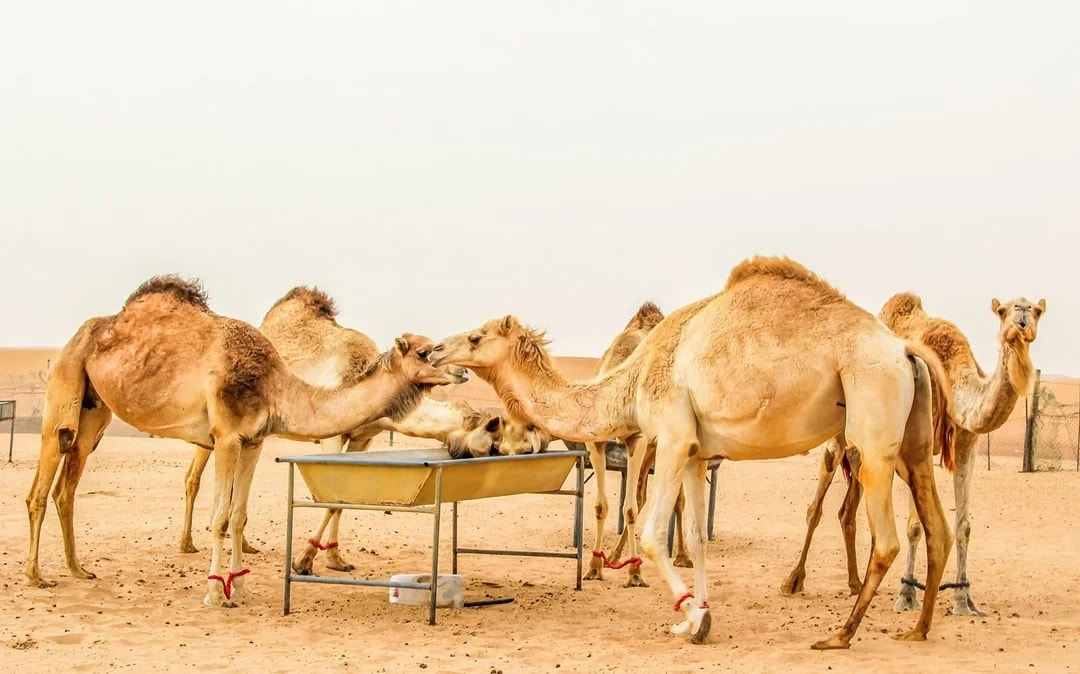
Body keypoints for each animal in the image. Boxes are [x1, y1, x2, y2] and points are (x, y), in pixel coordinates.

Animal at [25, 275, 461, 608]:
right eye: (427, 351)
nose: (458, 372)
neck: (274, 385)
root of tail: (79, 335)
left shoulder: (253, 441)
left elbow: (237, 515)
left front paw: (244, 587)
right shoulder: (227, 437)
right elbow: (220, 517)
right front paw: (216, 594)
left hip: (94, 413)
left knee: (67, 487)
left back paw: (77, 568)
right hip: (64, 387)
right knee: (41, 486)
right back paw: (35, 575)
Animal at [429, 256, 957, 649]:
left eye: (475, 337)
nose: (434, 350)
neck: (633, 379)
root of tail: (905, 349)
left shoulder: (671, 437)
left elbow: (650, 534)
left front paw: (688, 618)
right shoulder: (697, 452)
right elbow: (699, 539)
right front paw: (701, 614)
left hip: (872, 423)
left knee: (887, 539)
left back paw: (840, 634)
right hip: (912, 442)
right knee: (937, 527)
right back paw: (918, 628)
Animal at [781, 292, 1045, 618]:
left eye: (1037, 310)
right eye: (1003, 311)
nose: (1021, 316)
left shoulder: (967, 442)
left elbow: (964, 525)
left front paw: (964, 600)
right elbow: (915, 526)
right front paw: (907, 595)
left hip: (864, 450)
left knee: (848, 512)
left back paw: (856, 583)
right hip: (835, 438)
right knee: (815, 507)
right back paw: (794, 581)